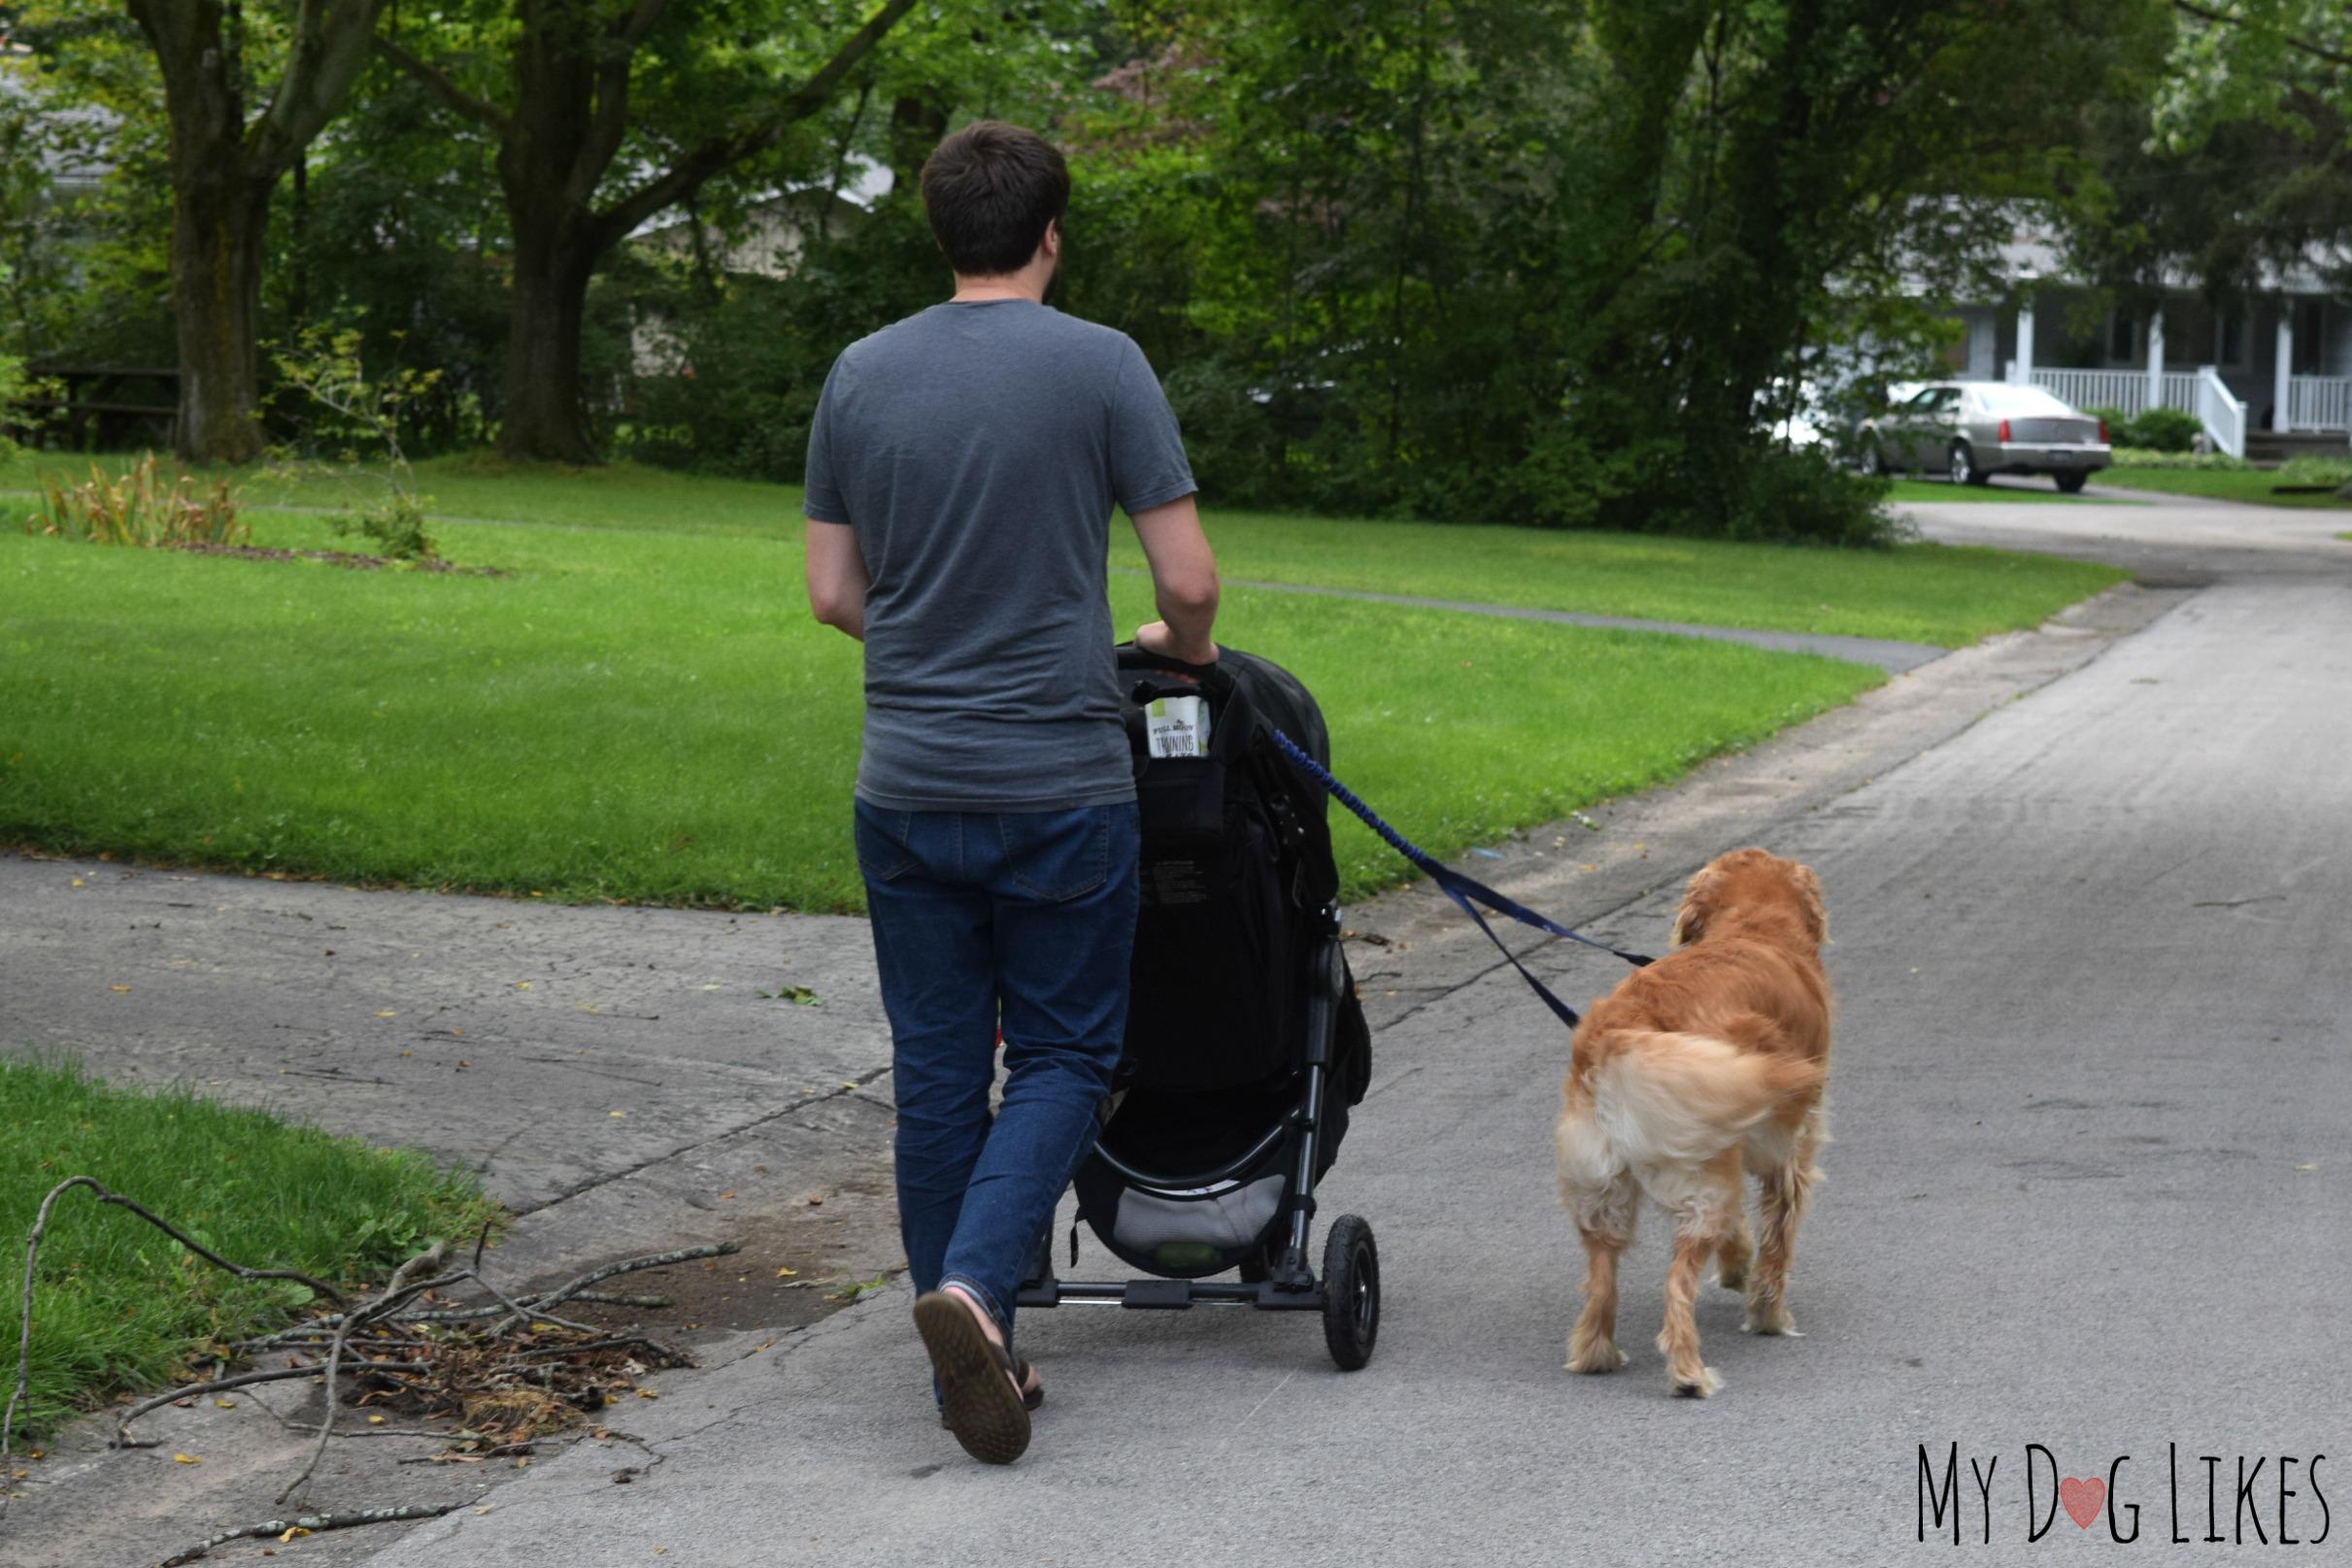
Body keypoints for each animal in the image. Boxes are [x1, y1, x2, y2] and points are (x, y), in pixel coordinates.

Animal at [1562, 851, 1834, 1401]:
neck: (1755, 928)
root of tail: (1618, 1031)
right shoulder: (1791, 1154)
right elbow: (1778, 1243)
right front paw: (1768, 1315)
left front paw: (1737, 1267)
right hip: (1702, 1185)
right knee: (1676, 1284)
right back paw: (1690, 1374)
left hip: (1603, 1191)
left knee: (1602, 1282)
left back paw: (1596, 1355)